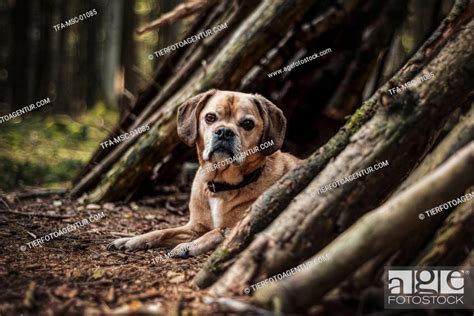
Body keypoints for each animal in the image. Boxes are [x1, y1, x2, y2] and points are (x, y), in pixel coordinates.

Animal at [108, 90, 300, 258]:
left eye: (248, 124)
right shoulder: (194, 228)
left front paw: (189, 246)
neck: (221, 185)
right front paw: (131, 239)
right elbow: (162, 231)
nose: (224, 132)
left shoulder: (247, 223)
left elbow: (217, 231)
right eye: (210, 117)